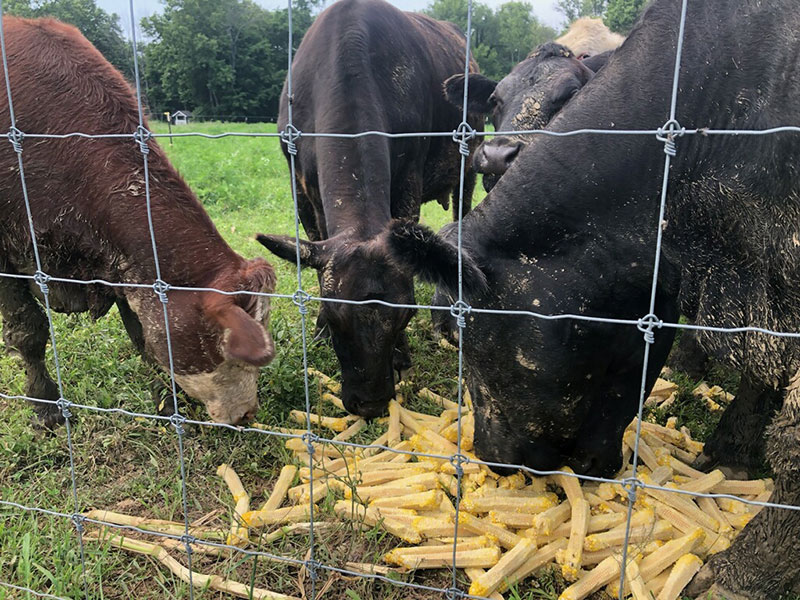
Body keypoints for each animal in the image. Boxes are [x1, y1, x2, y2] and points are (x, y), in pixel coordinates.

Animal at [0, 17, 276, 427]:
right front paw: (45, 406)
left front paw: (167, 400)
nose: (245, 414)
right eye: (230, 350)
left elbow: (140, 332)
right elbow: (28, 332)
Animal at [256, 0, 482, 419]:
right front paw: (318, 333)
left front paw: (403, 356)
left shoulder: (409, 179)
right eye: (333, 316)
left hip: (467, 166)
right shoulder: (301, 191)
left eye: (407, 314)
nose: (372, 403)